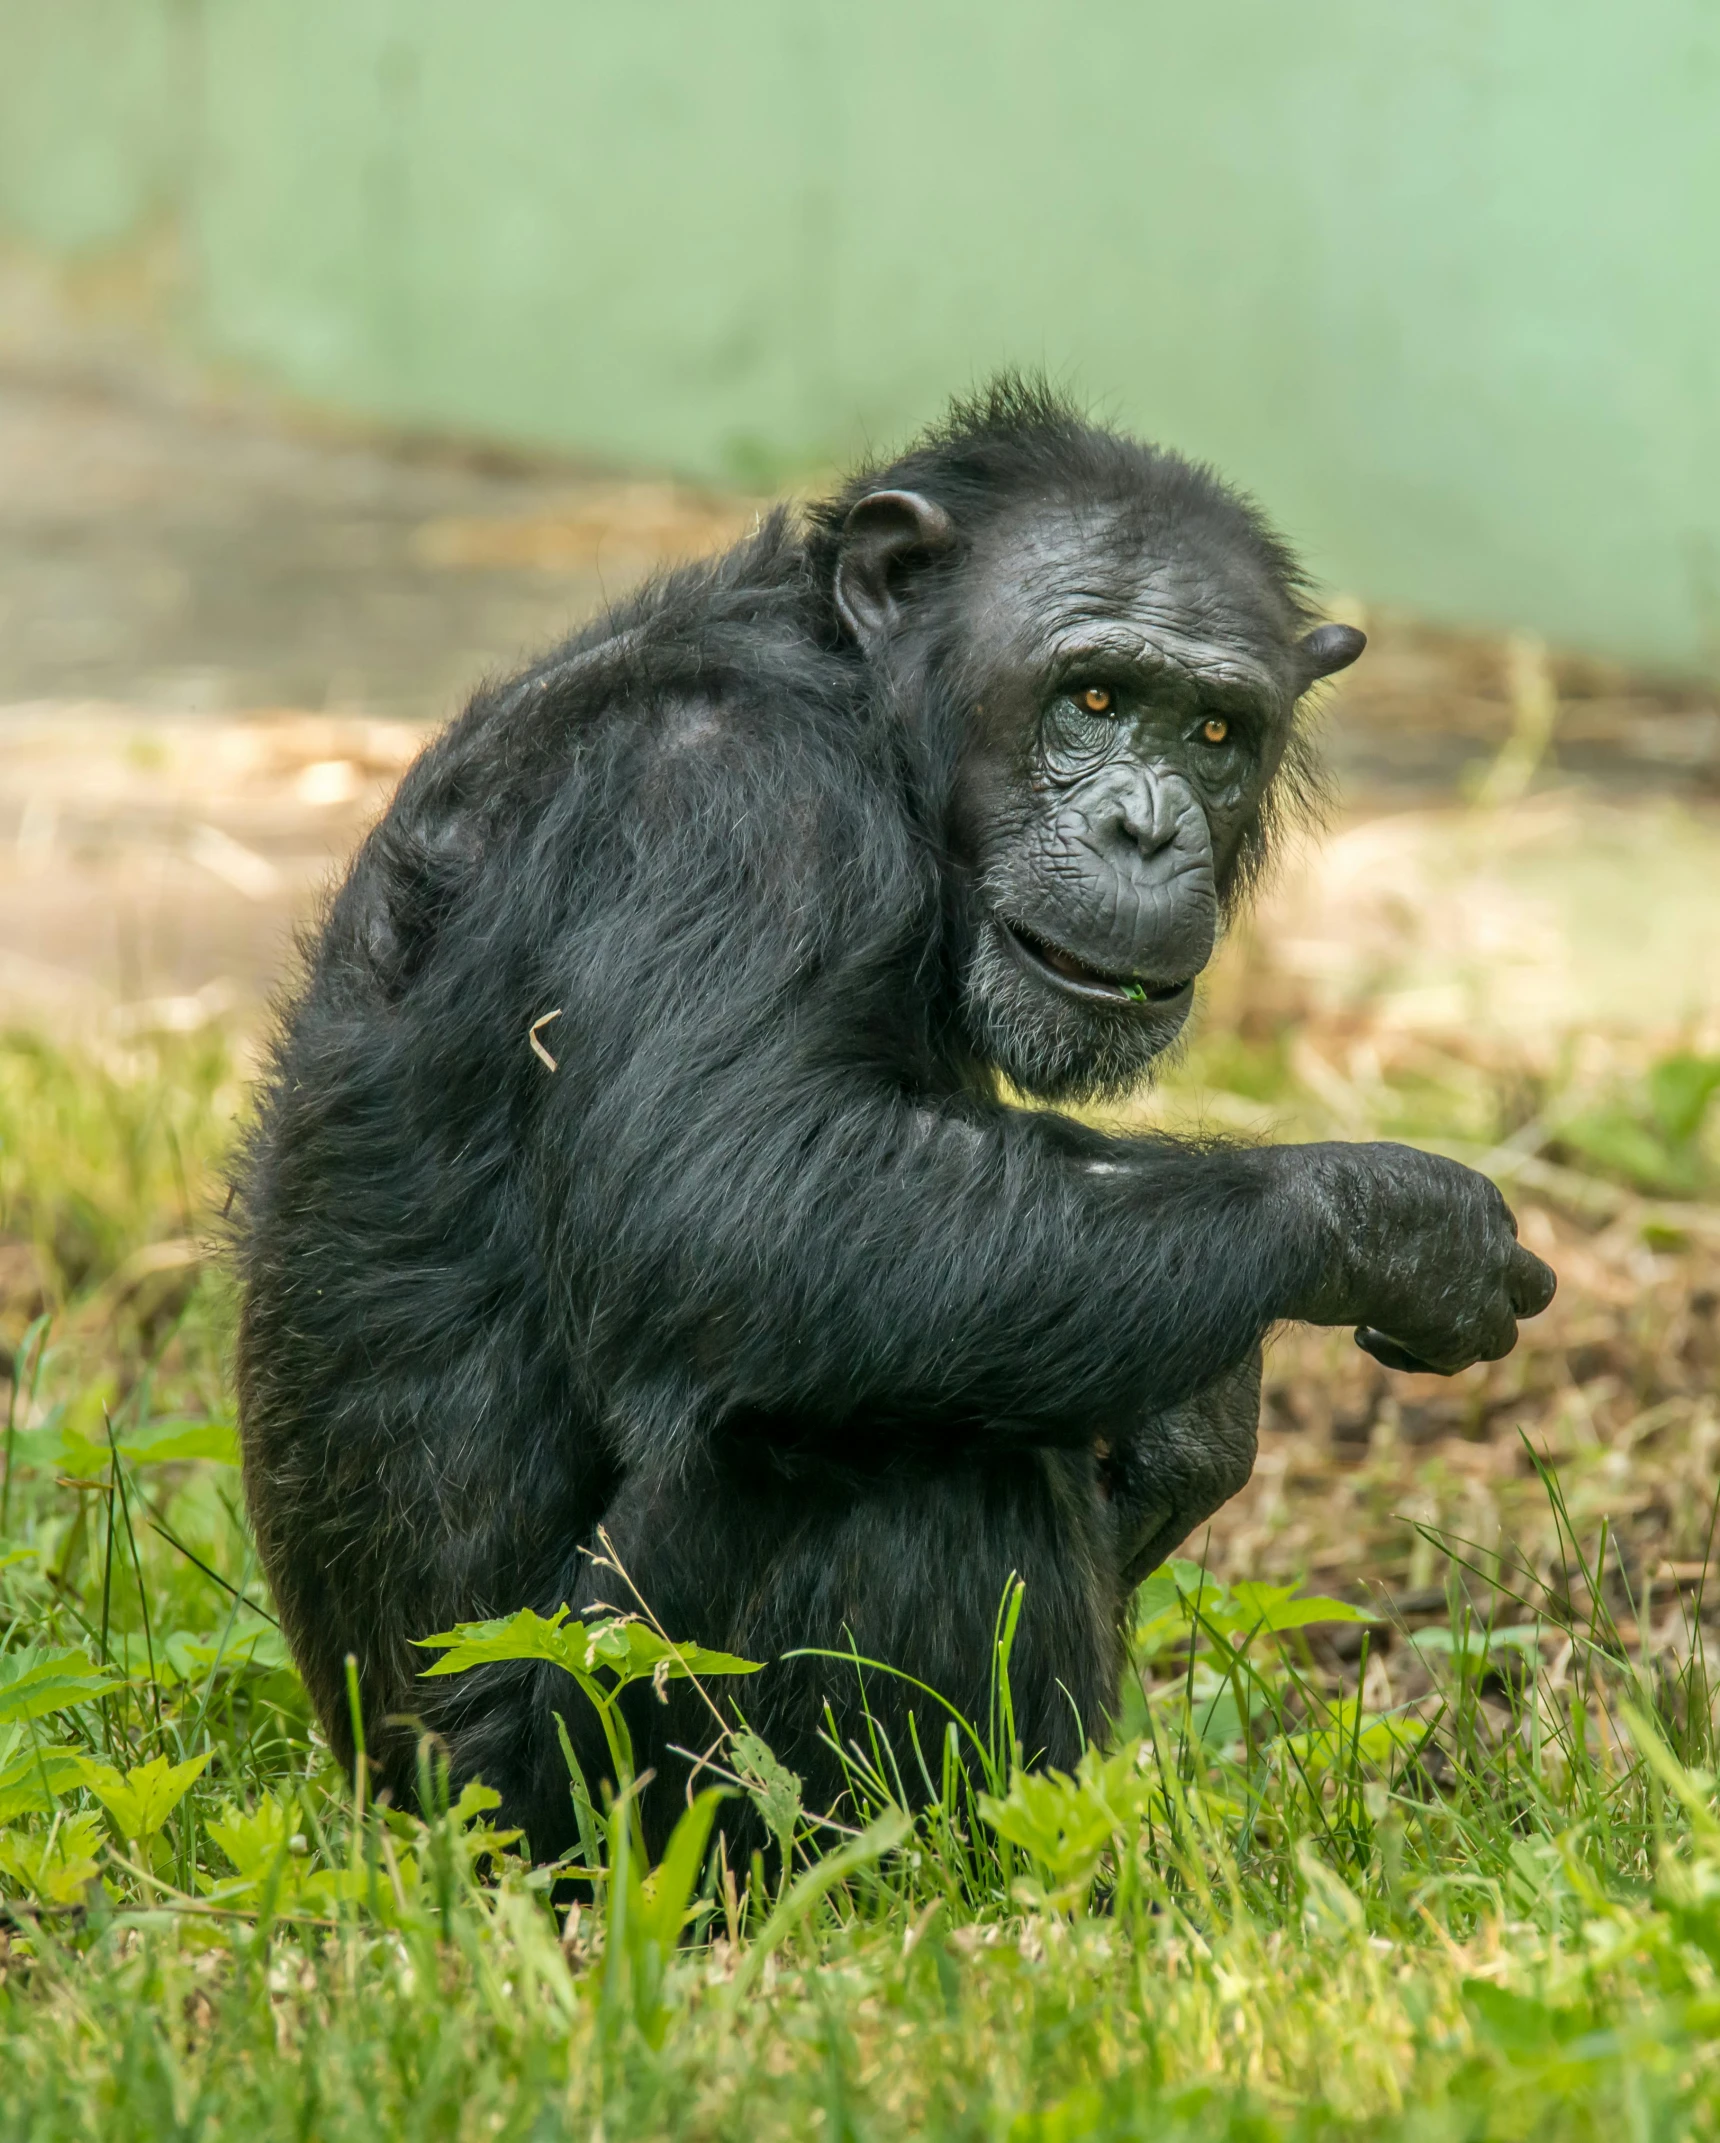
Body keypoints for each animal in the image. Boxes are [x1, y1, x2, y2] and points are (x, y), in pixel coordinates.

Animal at [232, 385, 1559, 1860]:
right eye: (1093, 696)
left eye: (1216, 732)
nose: (1147, 827)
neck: (865, 714)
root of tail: (383, 1803)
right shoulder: (724, 811)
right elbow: (734, 1203)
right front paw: (1383, 1225)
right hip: (566, 1782)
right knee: (899, 1441)